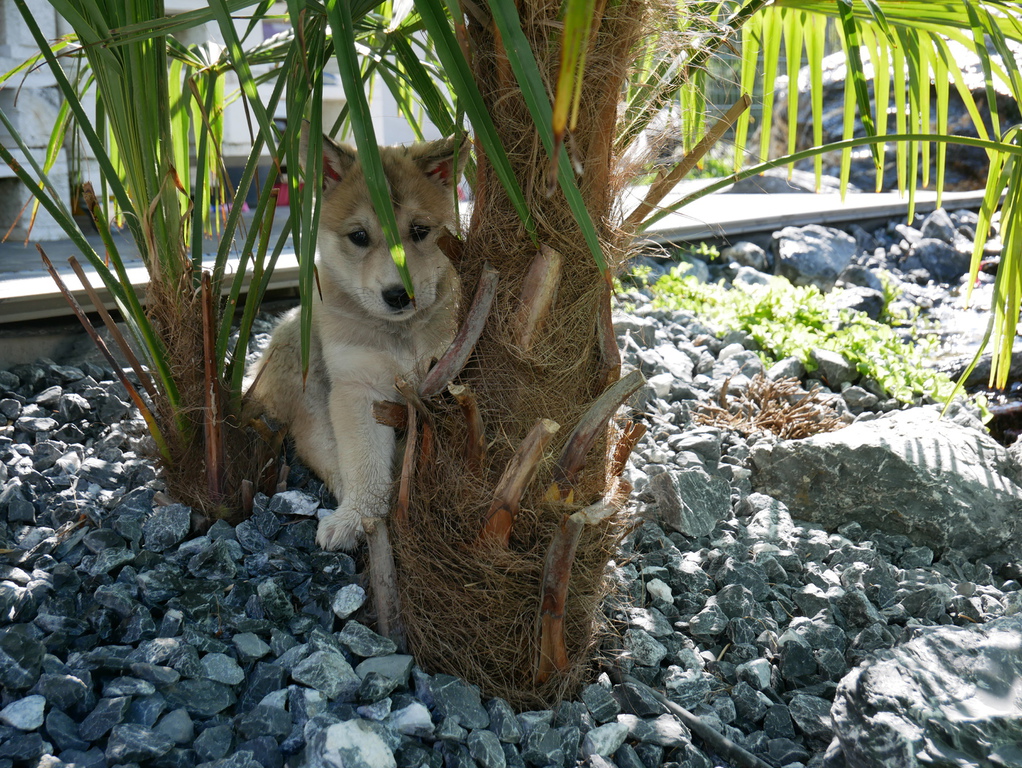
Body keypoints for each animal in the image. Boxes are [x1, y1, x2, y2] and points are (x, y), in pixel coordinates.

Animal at [247, 128, 464, 550]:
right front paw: (361, 516)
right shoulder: (358, 388)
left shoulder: (445, 373)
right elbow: (363, 463)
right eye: (359, 236)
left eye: (420, 231)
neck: (400, 334)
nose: (399, 295)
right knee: (329, 456)